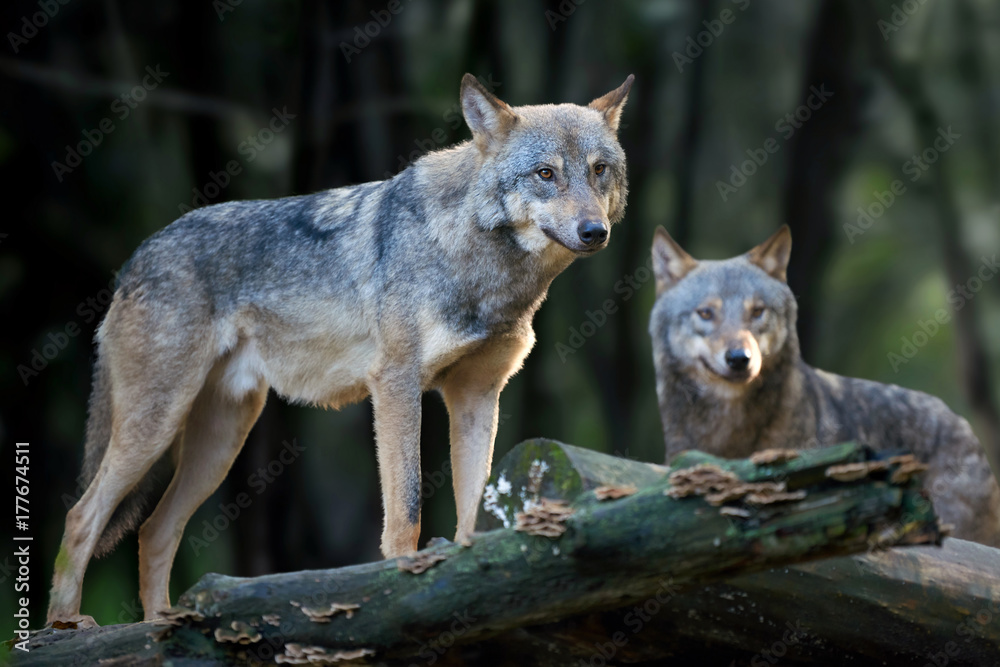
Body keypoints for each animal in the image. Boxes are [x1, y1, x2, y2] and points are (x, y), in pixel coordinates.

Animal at [47, 73, 634, 626]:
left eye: (599, 170)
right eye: (546, 174)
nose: (594, 232)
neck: (483, 265)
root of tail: (135, 259)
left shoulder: (476, 397)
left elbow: (473, 511)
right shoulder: (396, 385)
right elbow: (407, 510)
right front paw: (403, 582)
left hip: (221, 440)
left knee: (153, 531)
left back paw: (160, 625)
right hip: (158, 425)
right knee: (80, 517)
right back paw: (68, 627)